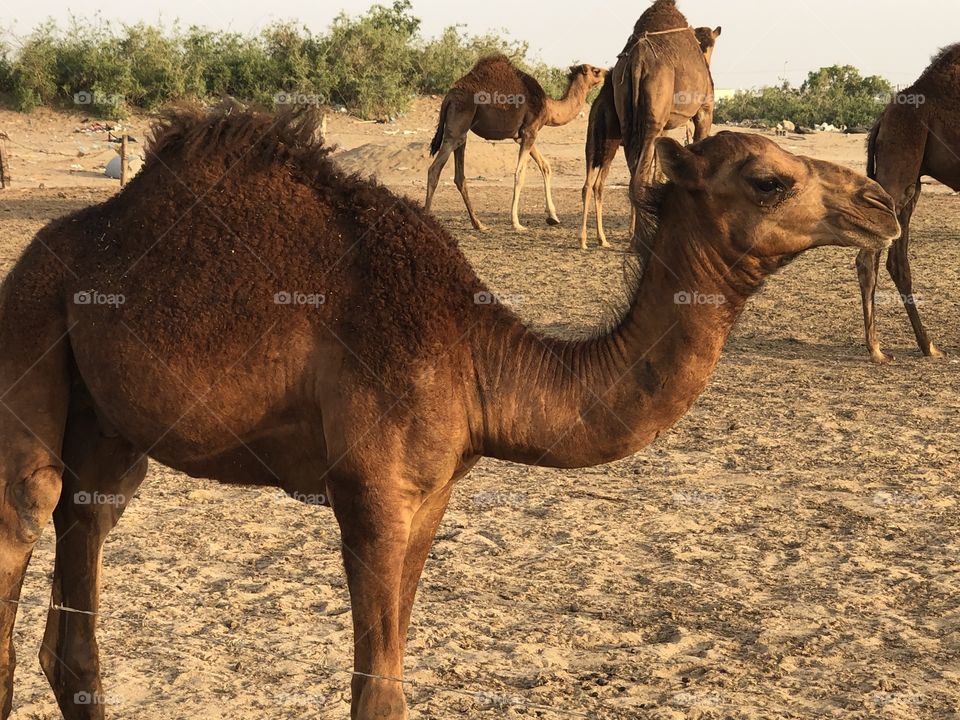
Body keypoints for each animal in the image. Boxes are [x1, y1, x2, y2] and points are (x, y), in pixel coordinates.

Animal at [0, 103, 898, 720]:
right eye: (768, 178)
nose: (881, 203)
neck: (476, 357)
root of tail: (50, 247)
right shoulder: (369, 494)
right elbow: (378, 692)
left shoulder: (431, 495)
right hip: (32, 322)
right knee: (28, 513)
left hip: (113, 435)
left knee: (82, 568)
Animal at [425, 55, 607, 232]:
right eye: (595, 70)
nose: (607, 73)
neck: (548, 108)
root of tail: (448, 97)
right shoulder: (530, 132)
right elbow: (520, 174)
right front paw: (516, 223)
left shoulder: (522, 135)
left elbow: (545, 166)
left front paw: (553, 217)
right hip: (458, 123)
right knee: (434, 169)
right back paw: (427, 217)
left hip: (462, 130)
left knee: (459, 176)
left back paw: (479, 224)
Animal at [613, 0, 717, 217]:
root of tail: (638, 57)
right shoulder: (705, 109)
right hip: (655, 111)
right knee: (639, 180)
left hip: (624, 104)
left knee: (635, 171)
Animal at [855, 43, 960, 363]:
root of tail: (883, 117)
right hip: (901, 156)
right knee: (869, 256)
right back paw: (876, 349)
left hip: (913, 182)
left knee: (897, 260)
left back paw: (928, 346)